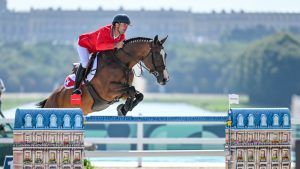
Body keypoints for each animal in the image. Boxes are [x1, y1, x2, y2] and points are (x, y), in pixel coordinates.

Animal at [35, 34, 169, 115]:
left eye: (166, 55)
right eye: (157, 55)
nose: (165, 79)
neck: (121, 63)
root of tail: (49, 99)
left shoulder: (121, 92)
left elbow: (138, 94)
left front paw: (124, 108)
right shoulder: (107, 91)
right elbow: (131, 89)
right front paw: (124, 108)